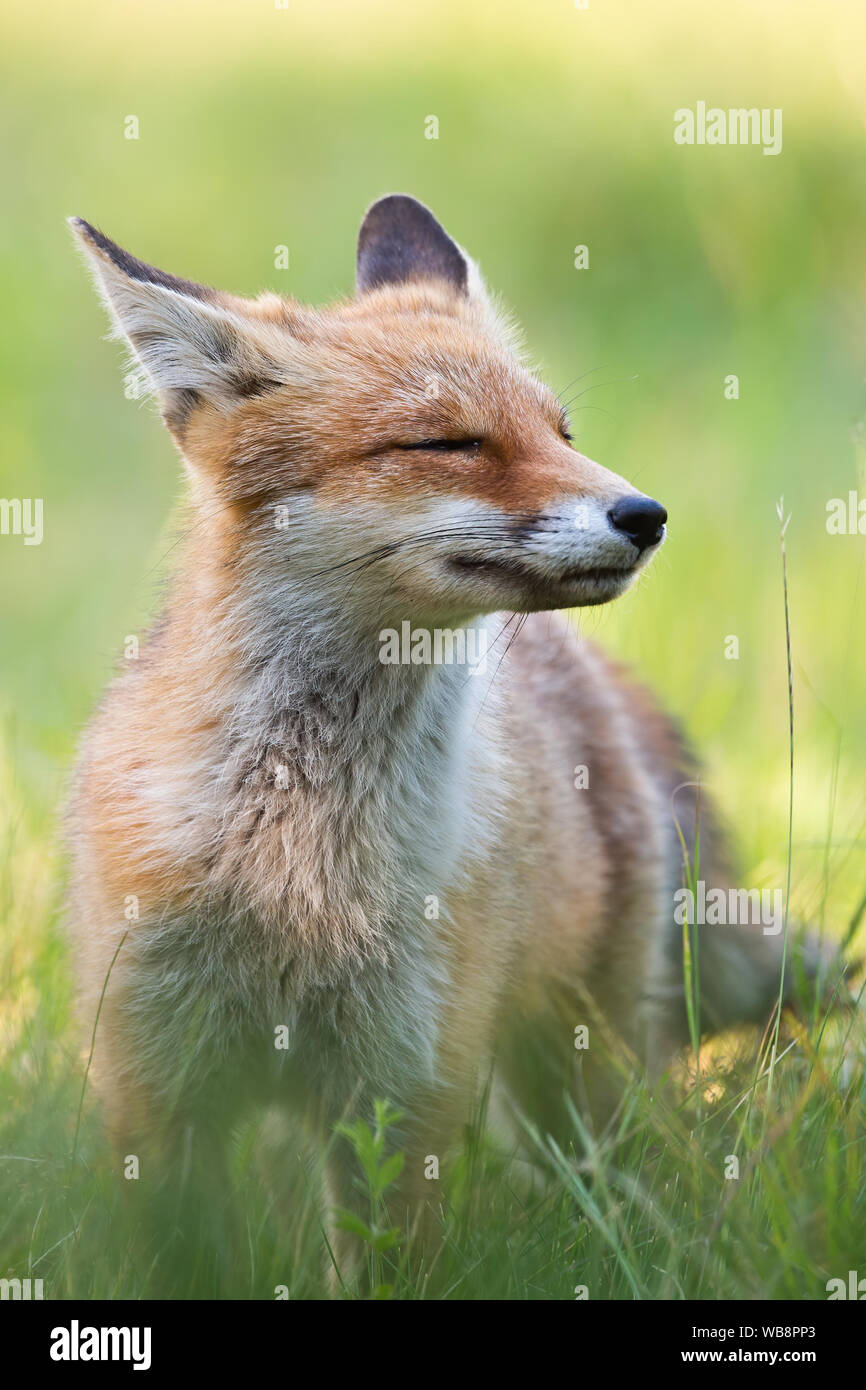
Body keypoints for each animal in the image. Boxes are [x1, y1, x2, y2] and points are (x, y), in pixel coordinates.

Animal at [67, 195, 828, 1278]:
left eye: (560, 431)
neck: (291, 862)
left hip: (581, 1076)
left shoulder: (400, 1095)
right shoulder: (156, 1093)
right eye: (448, 442)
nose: (644, 514)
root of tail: (590, 672)